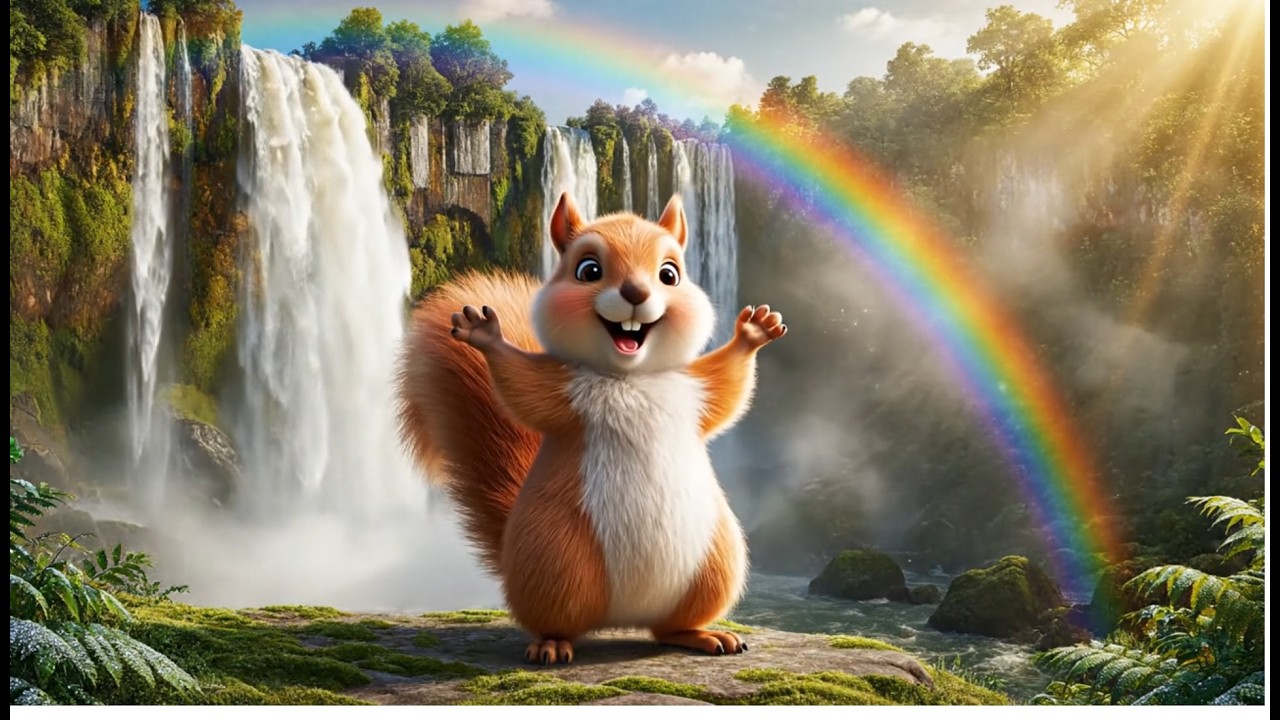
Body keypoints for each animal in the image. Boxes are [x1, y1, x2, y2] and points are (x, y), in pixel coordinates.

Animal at [395, 191, 786, 665]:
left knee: (668, 627)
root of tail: (625, 615)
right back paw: (550, 644)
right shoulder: (558, 392)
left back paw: (704, 635)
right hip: (557, 558)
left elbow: (728, 386)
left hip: (714, 561)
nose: (636, 292)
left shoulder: (695, 389)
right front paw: (485, 334)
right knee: (559, 619)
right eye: (588, 271)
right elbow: (518, 384)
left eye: (670, 274)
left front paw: (753, 331)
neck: (629, 376)